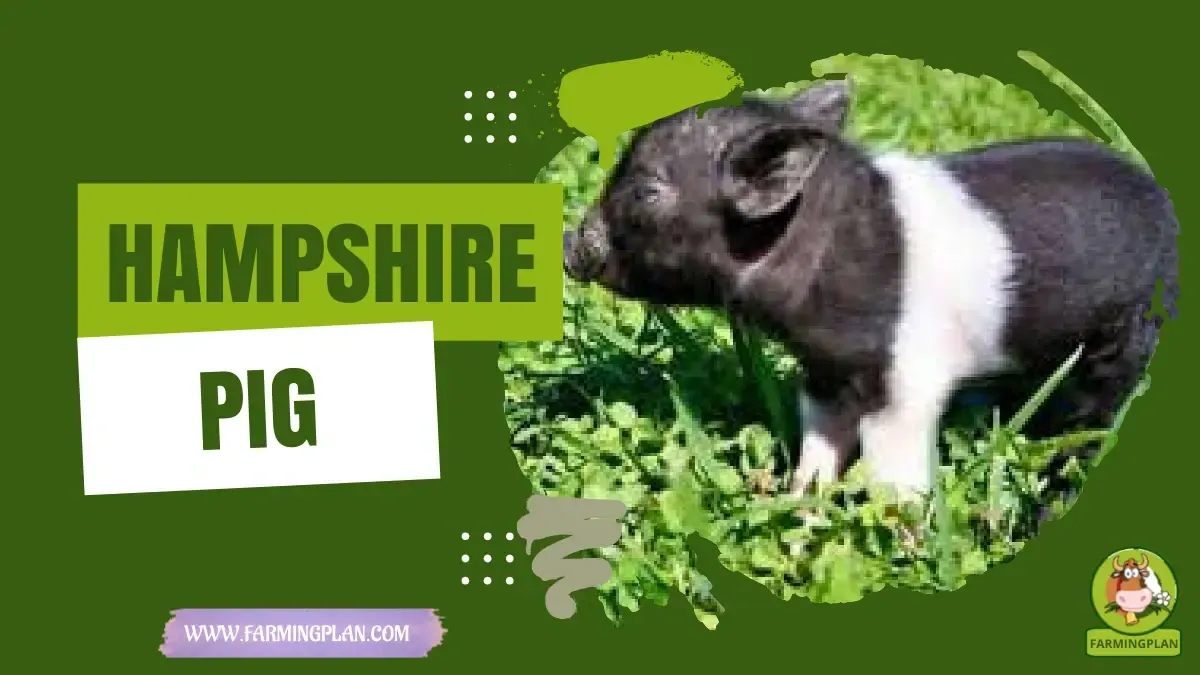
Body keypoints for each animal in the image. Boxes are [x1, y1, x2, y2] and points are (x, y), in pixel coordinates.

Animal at [561, 79, 1180, 512]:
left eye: (646, 193)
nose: (570, 241)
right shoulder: (826, 373)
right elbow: (819, 442)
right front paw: (797, 505)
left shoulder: (906, 379)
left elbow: (892, 466)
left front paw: (903, 537)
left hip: (1130, 331)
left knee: (1094, 412)